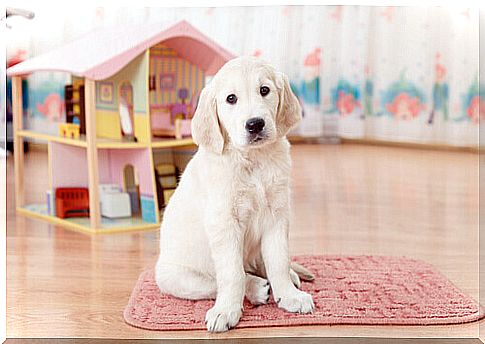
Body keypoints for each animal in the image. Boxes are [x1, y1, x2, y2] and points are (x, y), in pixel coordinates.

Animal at [155, 57, 314, 334]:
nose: (255, 124)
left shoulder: (277, 216)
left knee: (262, 264)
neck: (254, 160)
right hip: (172, 277)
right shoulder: (225, 223)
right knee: (221, 280)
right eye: (231, 99)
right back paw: (255, 289)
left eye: (264, 90)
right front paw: (227, 311)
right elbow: (232, 274)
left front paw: (289, 295)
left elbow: (278, 261)